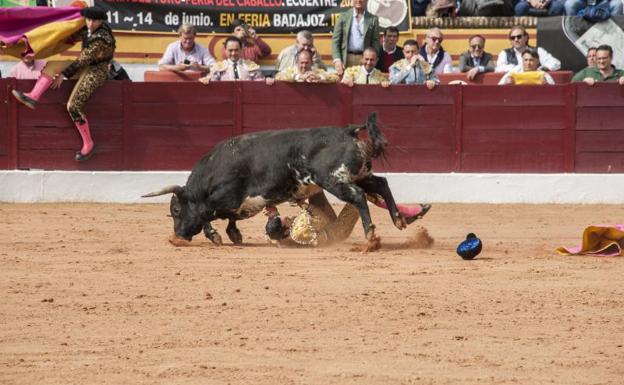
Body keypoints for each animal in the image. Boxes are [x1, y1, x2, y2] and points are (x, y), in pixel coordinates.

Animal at [144, 112, 410, 249]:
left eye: (176, 210)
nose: (176, 236)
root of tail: (347, 131)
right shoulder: (243, 205)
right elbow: (229, 218)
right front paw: (234, 235)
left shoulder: (228, 197)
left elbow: (205, 213)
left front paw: (215, 235)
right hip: (360, 174)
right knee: (381, 184)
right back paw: (398, 219)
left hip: (334, 179)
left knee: (358, 196)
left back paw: (371, 236)